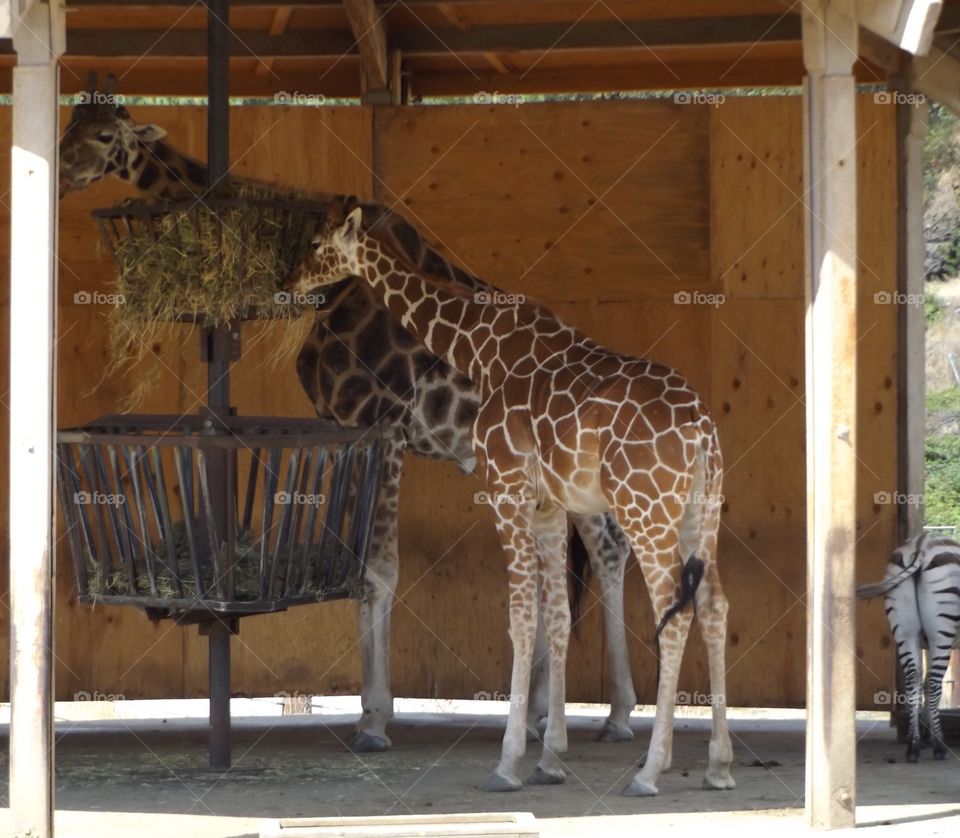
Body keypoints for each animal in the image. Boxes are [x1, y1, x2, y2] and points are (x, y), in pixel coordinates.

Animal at [58, 76, 640, 750]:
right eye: (70, 124)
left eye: (105, 134)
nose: (62, 172)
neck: (335, 288)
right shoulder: (352, 430)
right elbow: (360, 567)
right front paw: (374, 713)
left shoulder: (384, 425)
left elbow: (379, 572)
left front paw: (374, 721)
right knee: (579, 555)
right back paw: (558, 710)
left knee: (603, 547)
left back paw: (614, 713)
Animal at [287, 202, 735, 796]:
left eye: (316, 243)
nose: (288, 283)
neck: (481, 346)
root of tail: (702, 429)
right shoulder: (547, 504)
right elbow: (556, 616)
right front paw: (550, 758)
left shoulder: (499, 485)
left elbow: (518, 618)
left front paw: (506, 762)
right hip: (698, 512)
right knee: (712, 606)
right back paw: (718, 764)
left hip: (645, 508)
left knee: (670, 606)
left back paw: (649, 768)